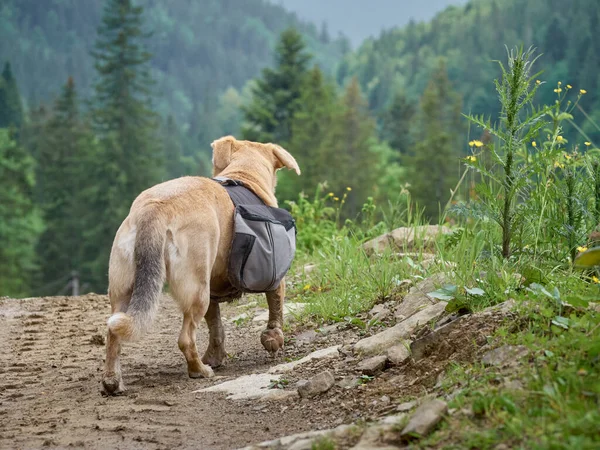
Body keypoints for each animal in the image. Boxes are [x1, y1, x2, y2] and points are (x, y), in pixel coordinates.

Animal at [103, 136, 302, 394]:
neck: (244, 174)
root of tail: (155, 209)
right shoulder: (276, 277)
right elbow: (275, 310)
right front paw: (273, 339)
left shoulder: (213, 291)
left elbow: (216, 327)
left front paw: (215, 356)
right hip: (196, 289)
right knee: (185, 339)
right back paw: (199, 371)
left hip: (124, 288)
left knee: (113, 335)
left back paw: (112, 381)